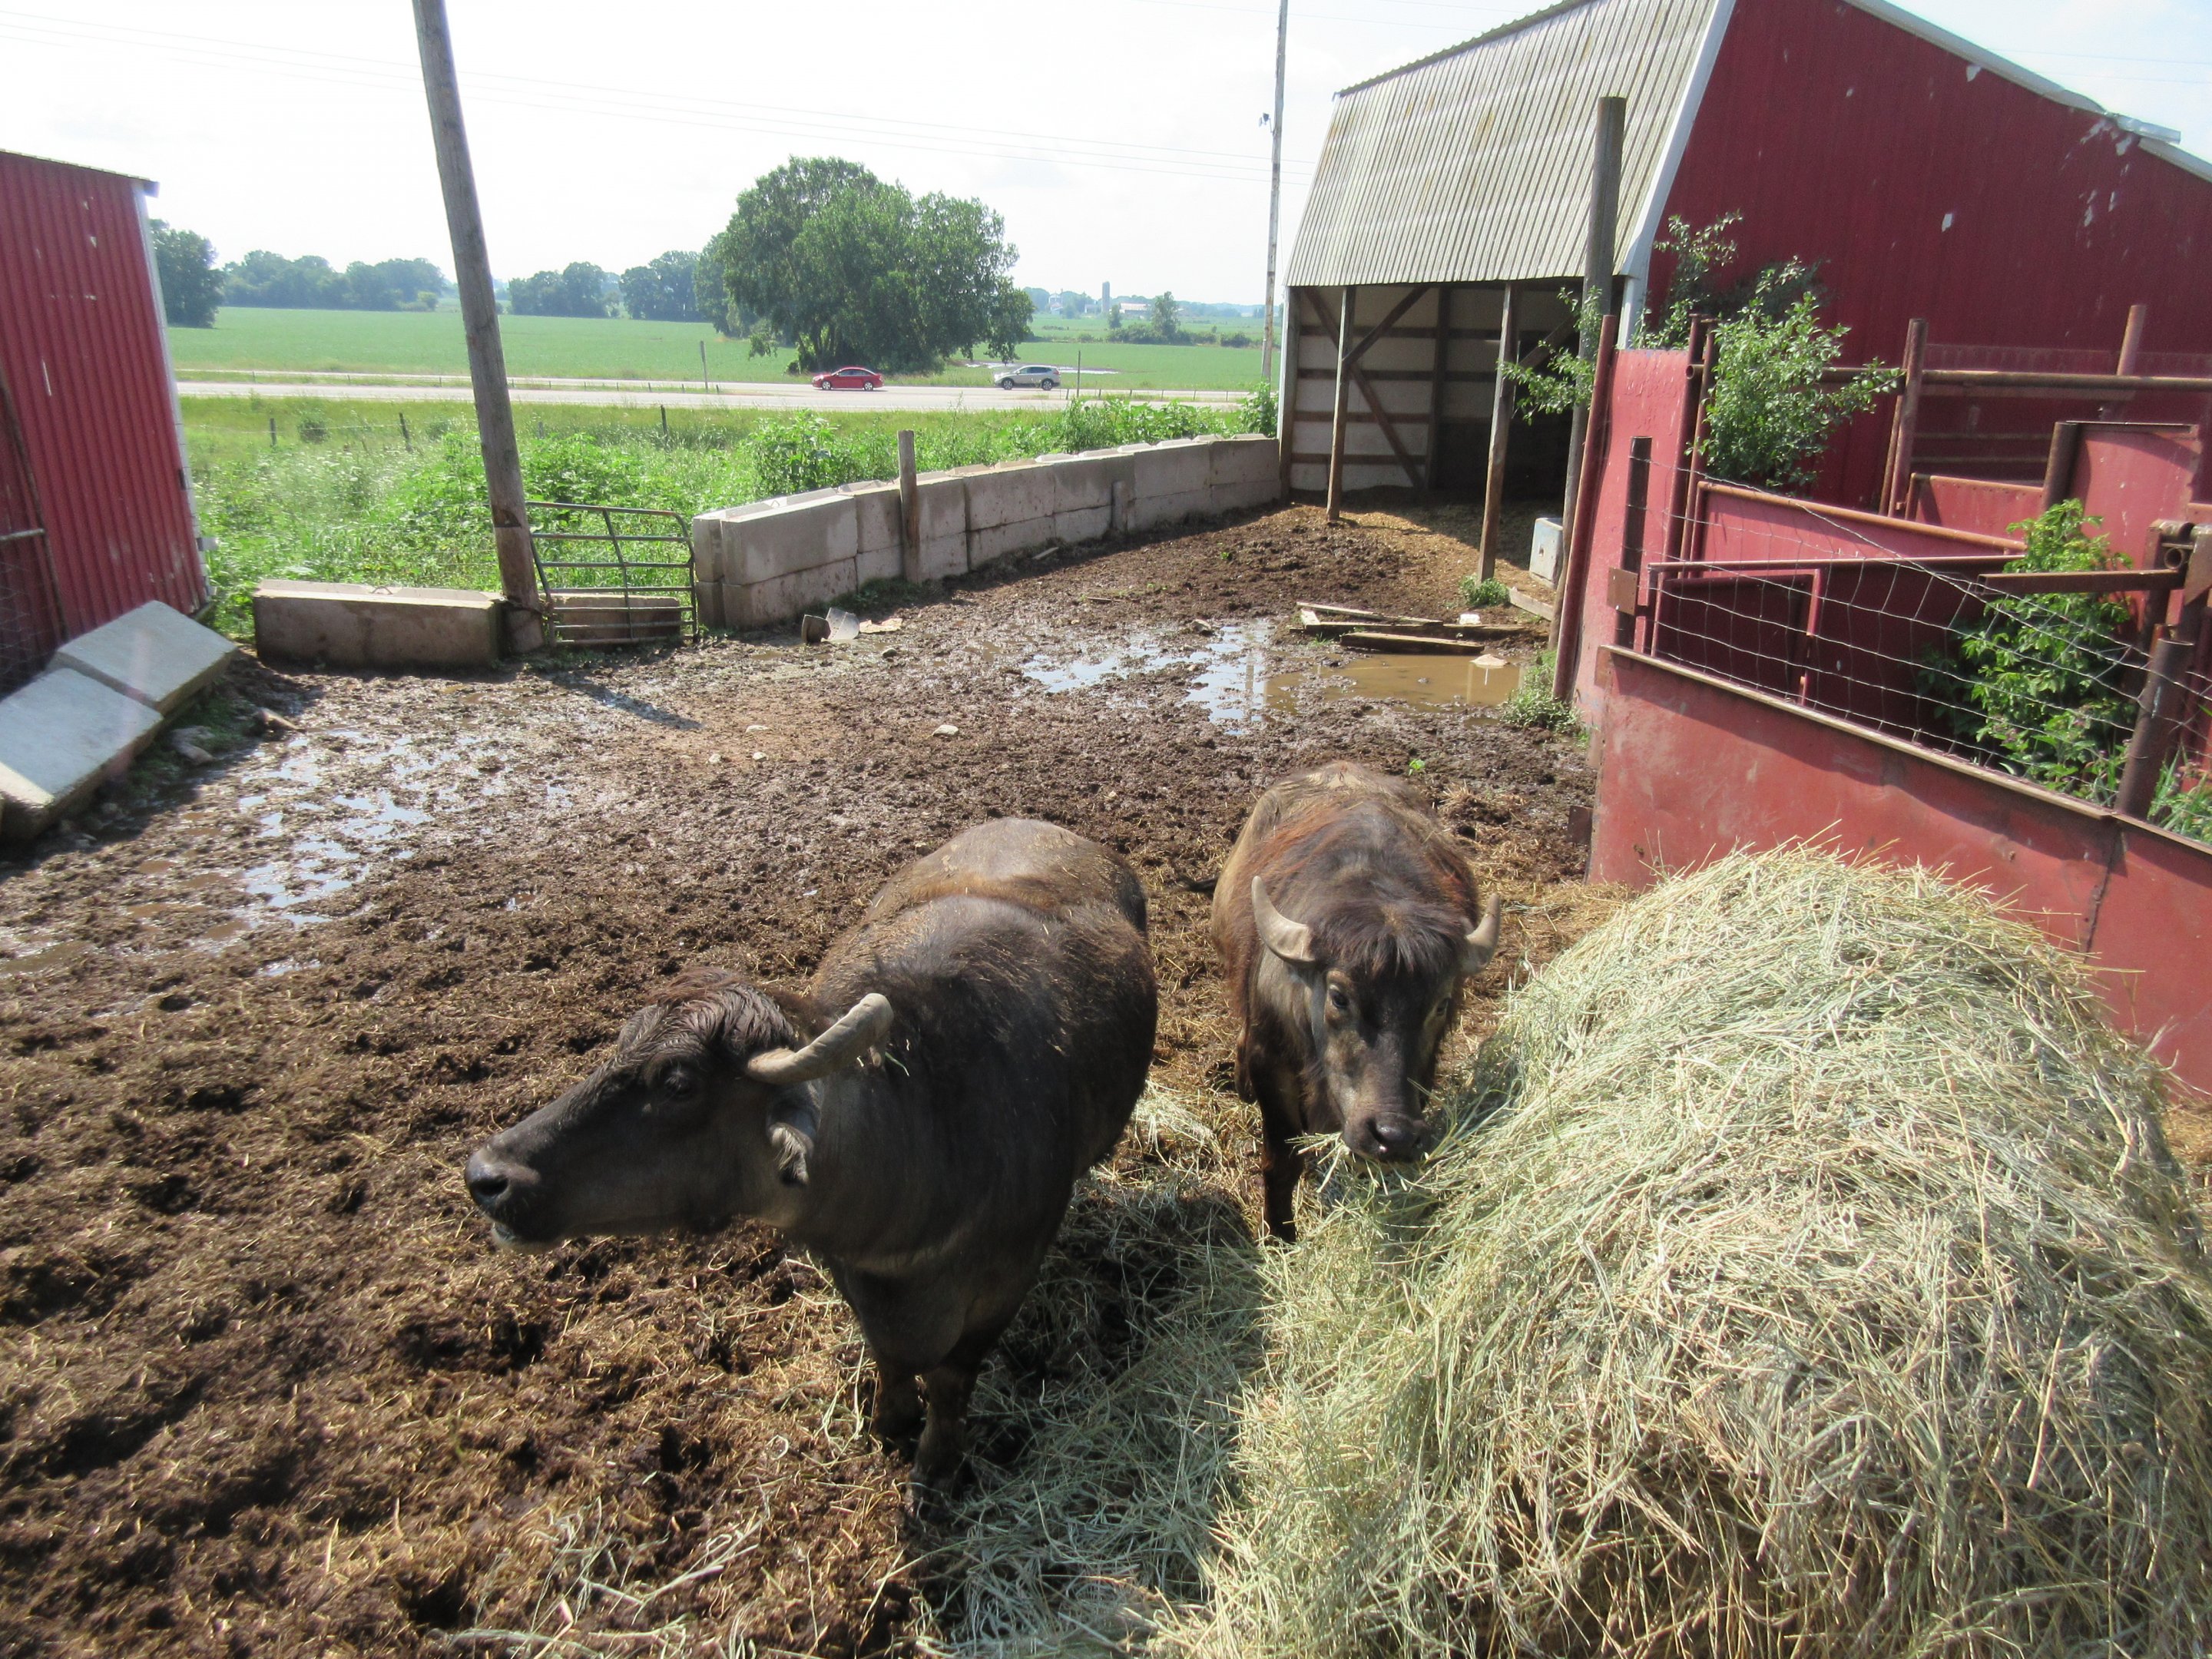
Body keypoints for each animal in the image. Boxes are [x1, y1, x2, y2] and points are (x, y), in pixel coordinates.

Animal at [465, 819, 1157, 1499]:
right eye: (620, 1046)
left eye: (680, 1084)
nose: (487, 1177)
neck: (929, 1141)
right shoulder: (852, 1275)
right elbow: (890, 1356)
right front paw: (888, 1422)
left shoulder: (1002, 1288)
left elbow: (951, 1380)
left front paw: (935, 1466)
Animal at [1212, 762, 1501, 1239]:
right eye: (1339, 996)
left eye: (1440, 1004)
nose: (1393, 1135)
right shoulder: (1271, 1059)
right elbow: (1282, 1161)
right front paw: (1280, 1234)